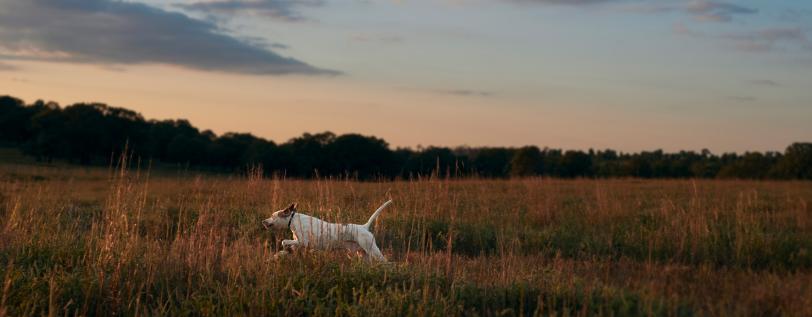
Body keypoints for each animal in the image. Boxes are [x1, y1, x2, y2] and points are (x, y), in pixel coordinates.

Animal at [262, 199, 392, 260]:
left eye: (273, 216)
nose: (263, 221)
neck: (293, 220)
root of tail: (364, 226)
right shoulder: (298, 244)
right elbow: (286, 249)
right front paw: (278, 255)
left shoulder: (303, 242)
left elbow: (284, 241)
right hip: (362, 254)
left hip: (373, 251)